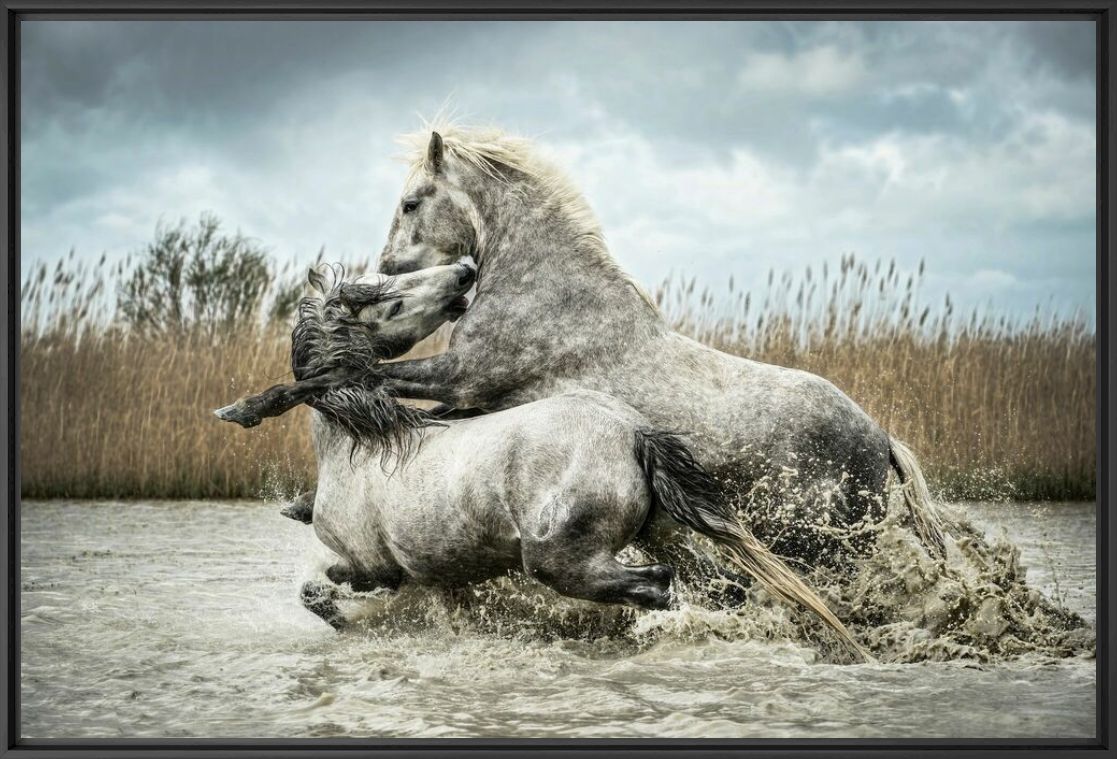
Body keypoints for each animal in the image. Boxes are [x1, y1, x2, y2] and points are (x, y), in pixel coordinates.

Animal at [213, 267, 866, 657]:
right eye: (394, 296)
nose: (463, 274)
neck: (360, 443)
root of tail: (632, 432)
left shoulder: (376, 566)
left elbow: (324, 586)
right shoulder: (439, 578)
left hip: (562, 559)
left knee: (656, 587)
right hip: (663, 534)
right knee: (716, 585)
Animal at [373, 126, 942, 563]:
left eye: (410, 203)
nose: (385, 268)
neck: (546, 291)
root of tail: (881, 439)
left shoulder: (463, 374)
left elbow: (385, 375)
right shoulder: (475, 397)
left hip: (820, 543)